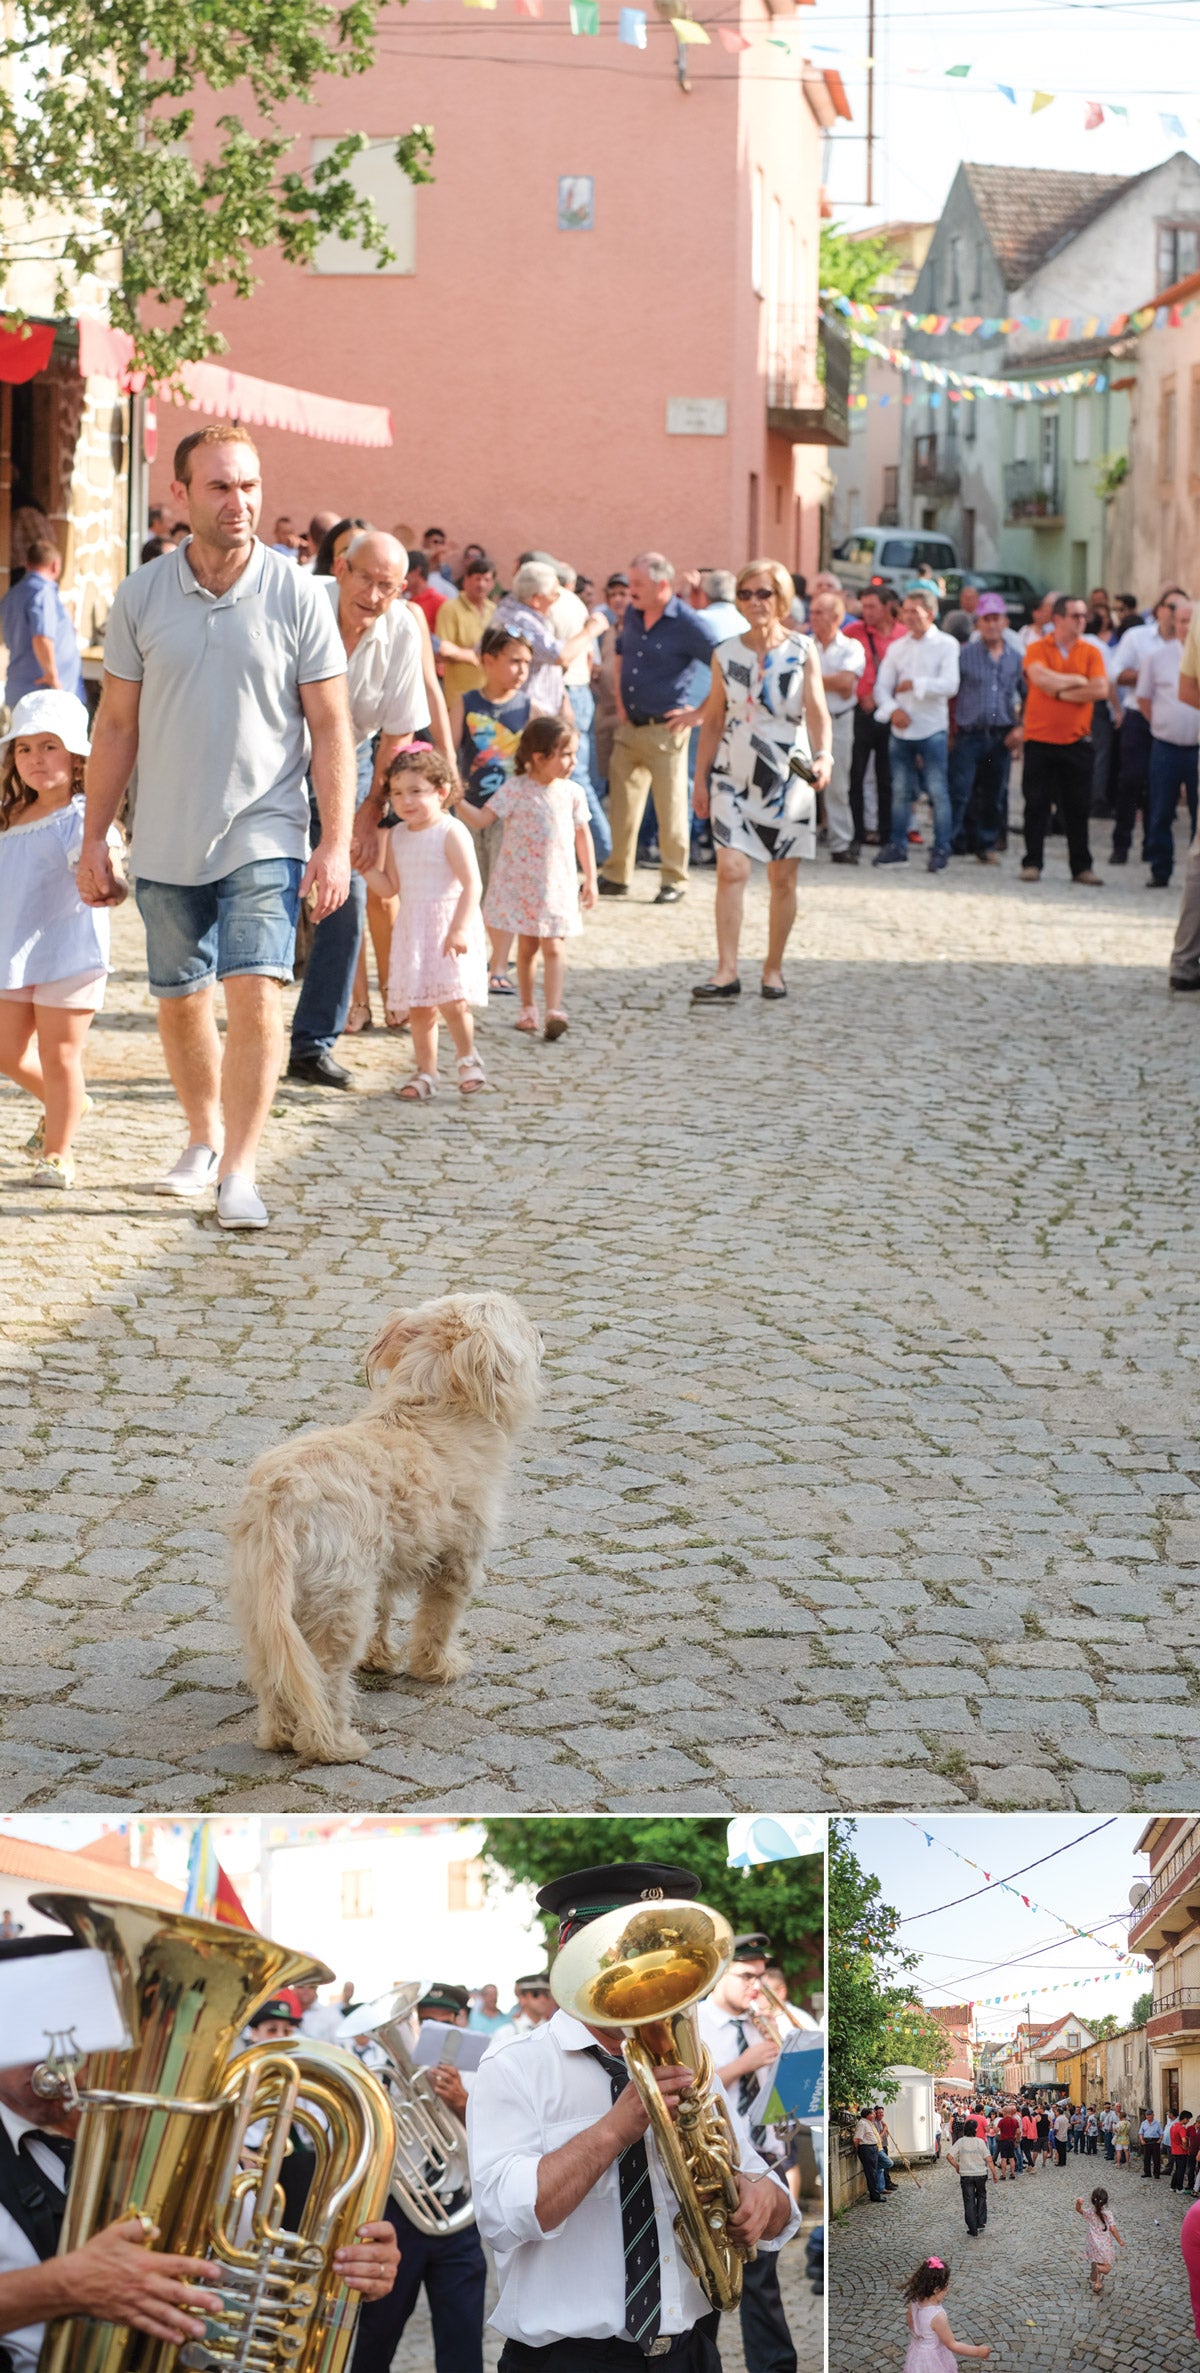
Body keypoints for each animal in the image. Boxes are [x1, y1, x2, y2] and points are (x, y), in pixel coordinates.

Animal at [226, 1300, 543, 1765]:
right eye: (522, 1323)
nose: (543, 1333)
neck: (430, 1405)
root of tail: (285, 1494)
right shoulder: (458, 1562)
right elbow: (437, 1622)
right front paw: (438, 1667)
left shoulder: (384, 1566)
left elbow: (384, 1613)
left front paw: (378, 1660)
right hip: (338, 1604)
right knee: (326, 1680)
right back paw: (334, 1745)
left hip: (262, 1605)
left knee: (276, 1675)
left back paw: (280, 1736)